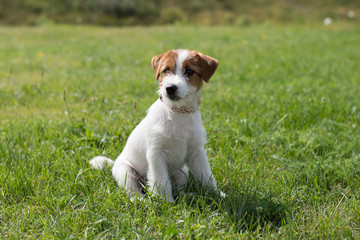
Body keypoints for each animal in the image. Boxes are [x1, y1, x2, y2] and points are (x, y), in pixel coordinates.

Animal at [90, 48, 225, 201]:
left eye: (189, 71)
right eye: (166, 70)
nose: (170, 88)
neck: (178, 112)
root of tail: (115, 162)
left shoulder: (197, 151)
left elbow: (207, 176)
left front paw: (218, 194)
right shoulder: (156, 153)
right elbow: (162, 181)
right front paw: (166, 202)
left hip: (182, 171)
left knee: (179, 188)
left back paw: (187, 196)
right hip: (126, 173)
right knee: (133, 191)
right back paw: (141, 200)